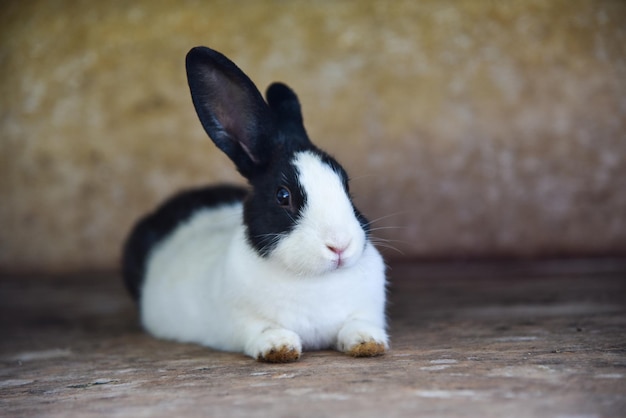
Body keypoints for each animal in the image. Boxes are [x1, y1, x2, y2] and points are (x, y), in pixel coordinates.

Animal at [120, 46, 388, 362]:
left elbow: (356, 324)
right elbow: (264, 330)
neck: (315, 279)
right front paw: (279, 348)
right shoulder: (243, 321)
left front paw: (368, 343)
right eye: (283, 196)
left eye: (345, 185)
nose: (339, 246)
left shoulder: (365, 310)